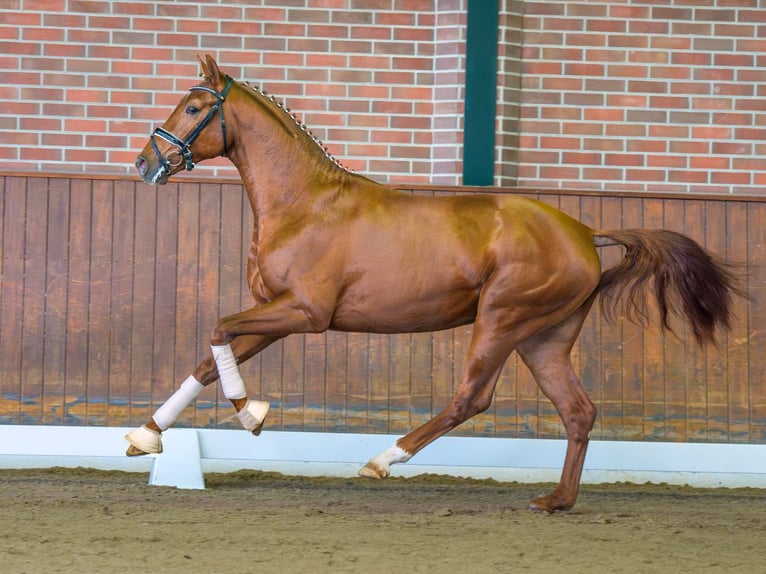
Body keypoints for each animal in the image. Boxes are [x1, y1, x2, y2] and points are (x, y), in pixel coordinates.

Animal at [127, 55, 744, 512]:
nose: (145, 164)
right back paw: (557, 500)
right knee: (578, 411)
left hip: (503, 318)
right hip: (543, 338)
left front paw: (251, 413)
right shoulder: (277, 313)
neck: (306, 204)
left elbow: (218, 330)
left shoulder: (305, 313)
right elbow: (210, 357)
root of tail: (586, 233)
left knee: (472, 397)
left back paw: (383, 460)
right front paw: (146, 437)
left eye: (195, 106)